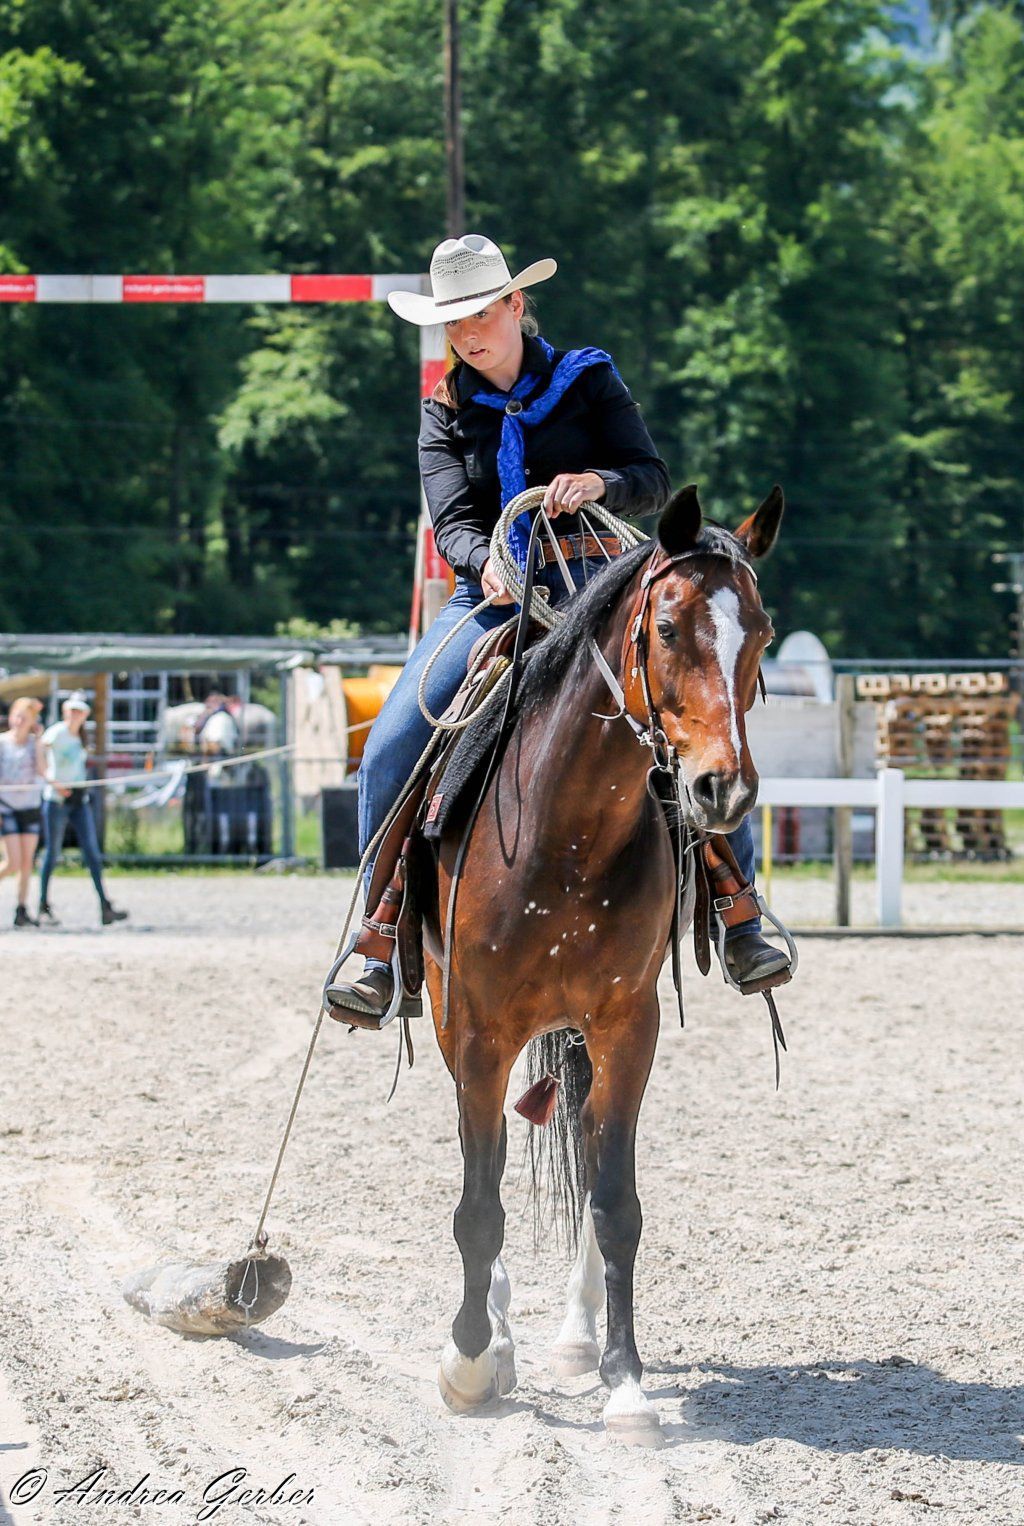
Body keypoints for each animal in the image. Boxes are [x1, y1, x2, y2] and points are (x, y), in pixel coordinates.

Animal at [422, 481, 784, 1446]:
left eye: (762, 630)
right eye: (665, 627)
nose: (721, 789)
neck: (563, 831)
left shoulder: (627, 1024)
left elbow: (615, 1200)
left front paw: (625, 1379)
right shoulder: (478, 1031)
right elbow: (480, 1205)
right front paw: (469, 1362)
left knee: (581, 1156)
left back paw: (578, 1339)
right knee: (487, 1166)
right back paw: (499, 1331)